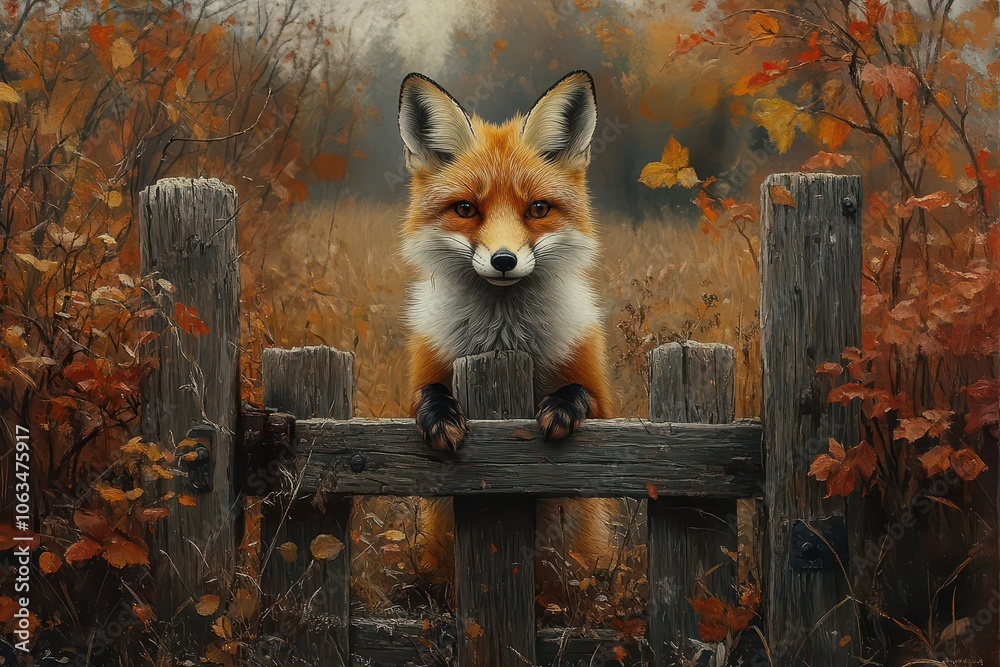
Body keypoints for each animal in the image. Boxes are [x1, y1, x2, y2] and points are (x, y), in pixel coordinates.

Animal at [397, 70, 617, 577]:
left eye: (537, 209)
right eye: (465, 209)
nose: (503, 260)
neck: (503, 338)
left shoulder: (605, 405)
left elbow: (581, 395)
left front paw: (562, 407)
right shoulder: (417, 376)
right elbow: (426, 394)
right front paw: (441, 416)